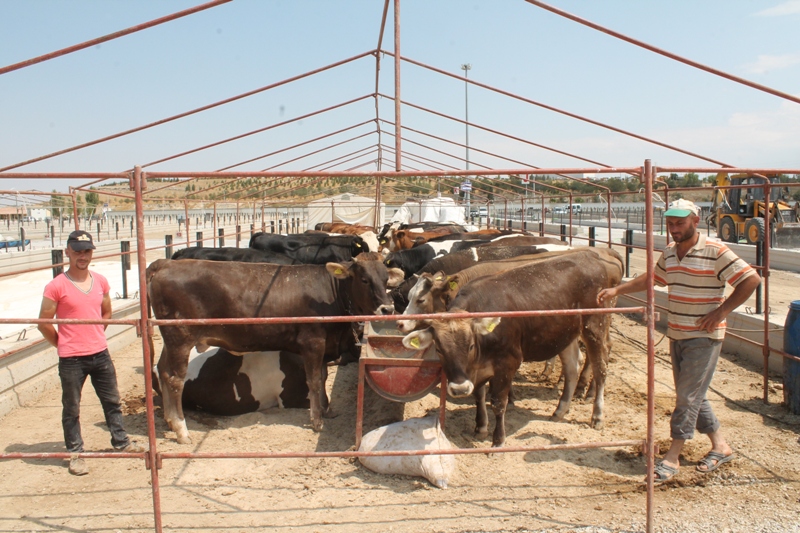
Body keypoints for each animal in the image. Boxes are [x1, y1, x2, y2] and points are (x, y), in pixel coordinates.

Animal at [147, 256, 404, 442]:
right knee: (174, 379)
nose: (387, 308)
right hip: (180, 337)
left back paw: (170, 421)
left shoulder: (323, 346)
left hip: (171, 341)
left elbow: (322, 378)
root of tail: (166, 263)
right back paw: (182, 430)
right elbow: (313, 381)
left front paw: (327, 409)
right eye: (364, 279)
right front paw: (316, 420)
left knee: (163, 370)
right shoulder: (313, 342)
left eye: (386, 280)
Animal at [404, 249, 620, 444]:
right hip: (566, 334)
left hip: (595, 326)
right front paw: (481, 427)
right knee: (572, 368)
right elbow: (479, 395)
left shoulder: (508, 362)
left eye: (471, 346)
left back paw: (597, 414)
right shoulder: (476, 369)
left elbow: (499, 402)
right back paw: (560, 410)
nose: (459, 389)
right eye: (439, 350)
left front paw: (498, 439)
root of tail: (591, 256)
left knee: (601, 368)